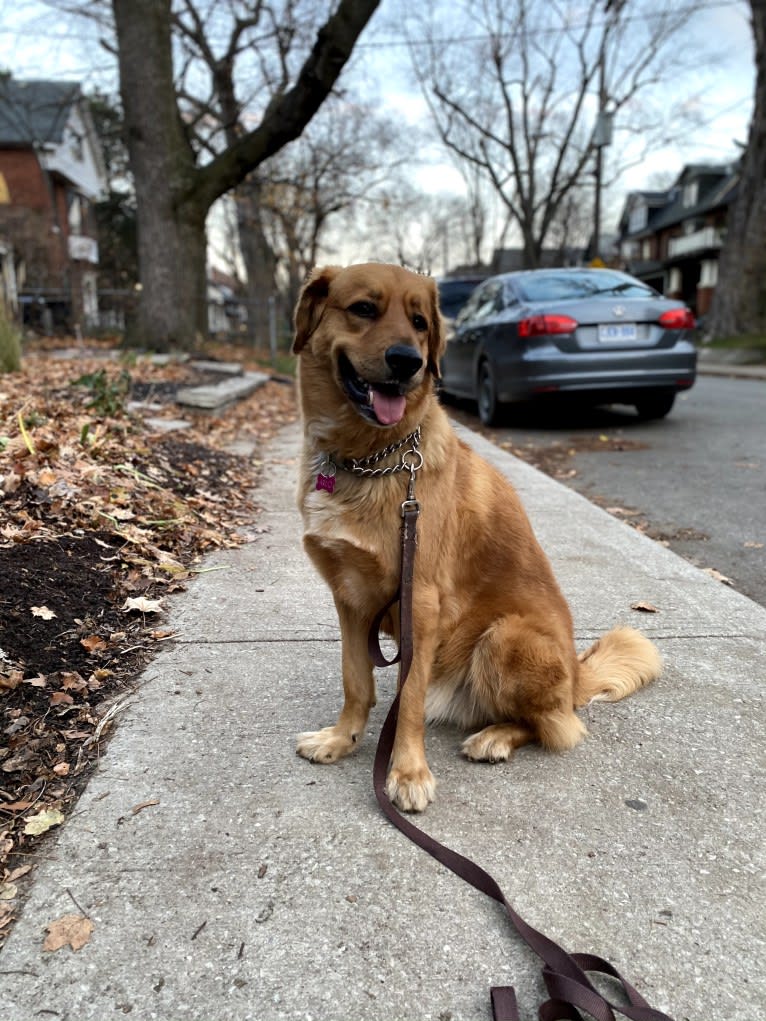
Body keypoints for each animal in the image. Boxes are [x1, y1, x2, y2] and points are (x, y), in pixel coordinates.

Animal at [290, 265, 661, 812]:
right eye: (363, 309)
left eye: (420, 322)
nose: (408, 362)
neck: (372, 458)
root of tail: (576, 677)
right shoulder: (350, 599)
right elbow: (355, 680)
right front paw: (341, 739)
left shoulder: (420, 604)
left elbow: (408, 699)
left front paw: (408, 772)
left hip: (504, 638)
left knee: (555, 725)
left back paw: (496, 737)